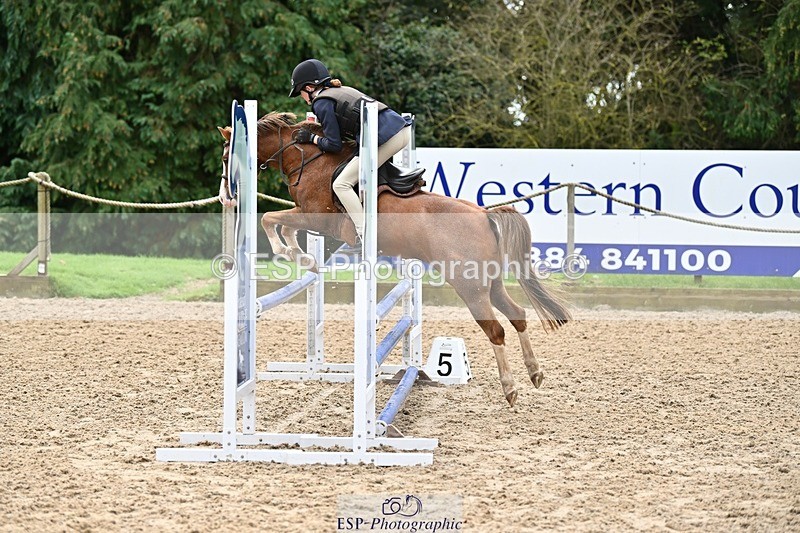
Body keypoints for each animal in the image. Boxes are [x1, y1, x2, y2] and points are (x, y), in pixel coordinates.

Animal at [217, 112, 571, 406]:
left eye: (224, 158)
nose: (225, 197)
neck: (310, 158)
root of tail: (484, 214)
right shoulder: (306, 216)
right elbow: (281, 223)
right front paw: (304, 258)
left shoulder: (316, 218)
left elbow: (271, 219)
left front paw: (292, 254)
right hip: (492, 283)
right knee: (518, 315)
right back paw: (535, 373)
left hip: (470, 287)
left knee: (496, 330)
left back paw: (510, 389)